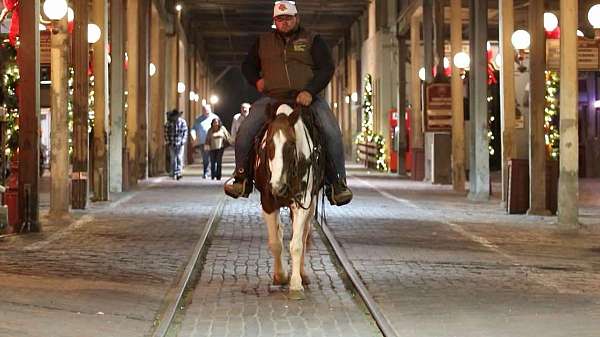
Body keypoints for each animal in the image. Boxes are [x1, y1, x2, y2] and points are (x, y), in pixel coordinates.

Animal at [255, 101, 326, 298]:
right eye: (269, 143)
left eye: (291, 144)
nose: (278, 187)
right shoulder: (268, 203)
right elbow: (275, 242)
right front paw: (280, 276)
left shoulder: (303, 202)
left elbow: (296, 244)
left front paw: (295, 283)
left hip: (311, 204)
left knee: (303, 235)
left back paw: (302, 274)